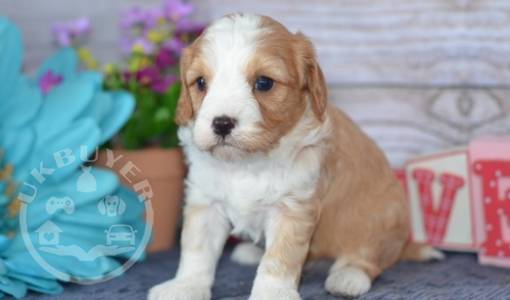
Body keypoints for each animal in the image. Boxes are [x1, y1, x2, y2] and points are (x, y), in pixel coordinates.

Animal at [148, 14, 442, 300]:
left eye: (263, 83)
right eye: (201, 83)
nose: (221, 123)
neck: (248, 162)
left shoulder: (292, 207)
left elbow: (278, 259)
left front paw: (272, 293)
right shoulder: (205, 201)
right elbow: (196, 251)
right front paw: (185, 286)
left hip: (379, 219)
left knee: (366, 257)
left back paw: (348, 277)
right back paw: (251, 251)